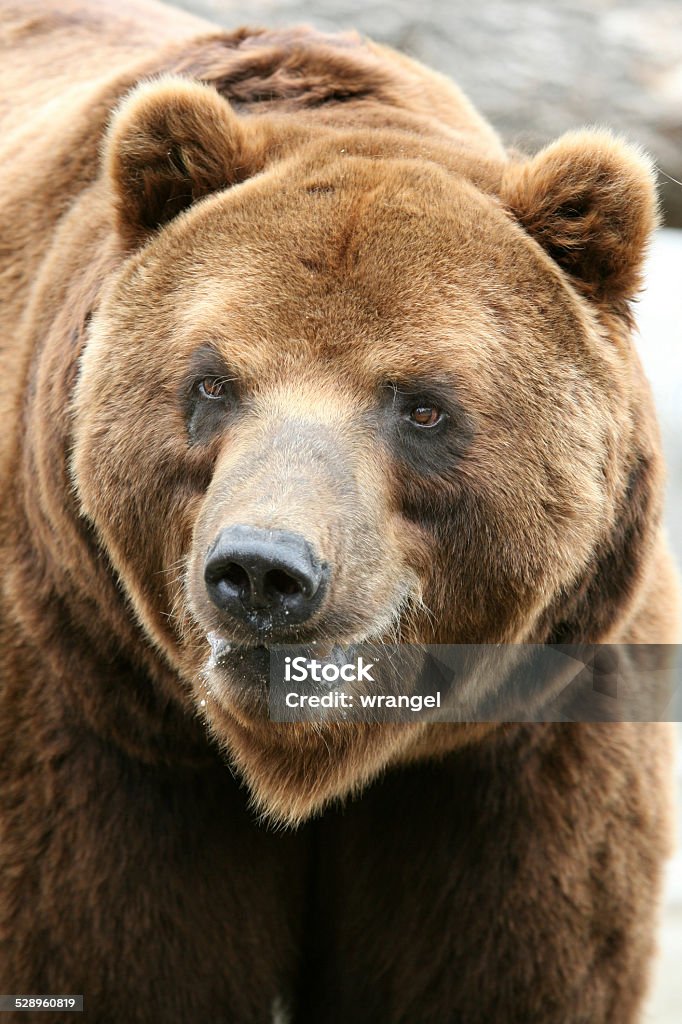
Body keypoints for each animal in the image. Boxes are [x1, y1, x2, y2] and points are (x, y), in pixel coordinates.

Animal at [0, 2, 675, 1024]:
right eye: (211, 380)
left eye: (422, 405)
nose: (263, 571)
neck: (311, 764)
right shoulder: (103, 735)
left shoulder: (509, 756)